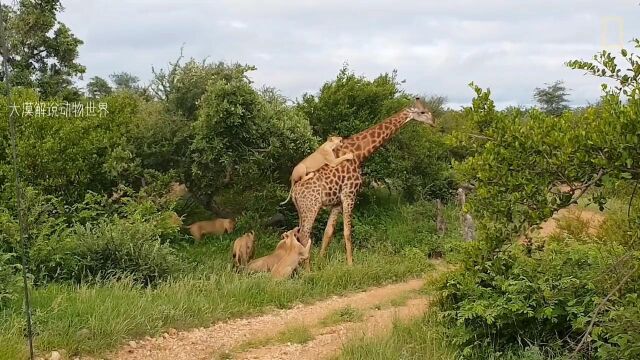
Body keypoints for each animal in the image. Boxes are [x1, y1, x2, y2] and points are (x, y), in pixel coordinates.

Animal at [292, 97, 436, 266]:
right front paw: (350, 264)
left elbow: (329, 231)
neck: (360, 154)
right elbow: (347, 231)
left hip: (302, 209)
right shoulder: (349, 194)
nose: (434, 122)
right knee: (304, 236)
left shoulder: (337, 201)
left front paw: (321, 261)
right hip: (311, 207)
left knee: (299, 234)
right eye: (423, 112)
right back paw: (307, 270)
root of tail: (294, 192)